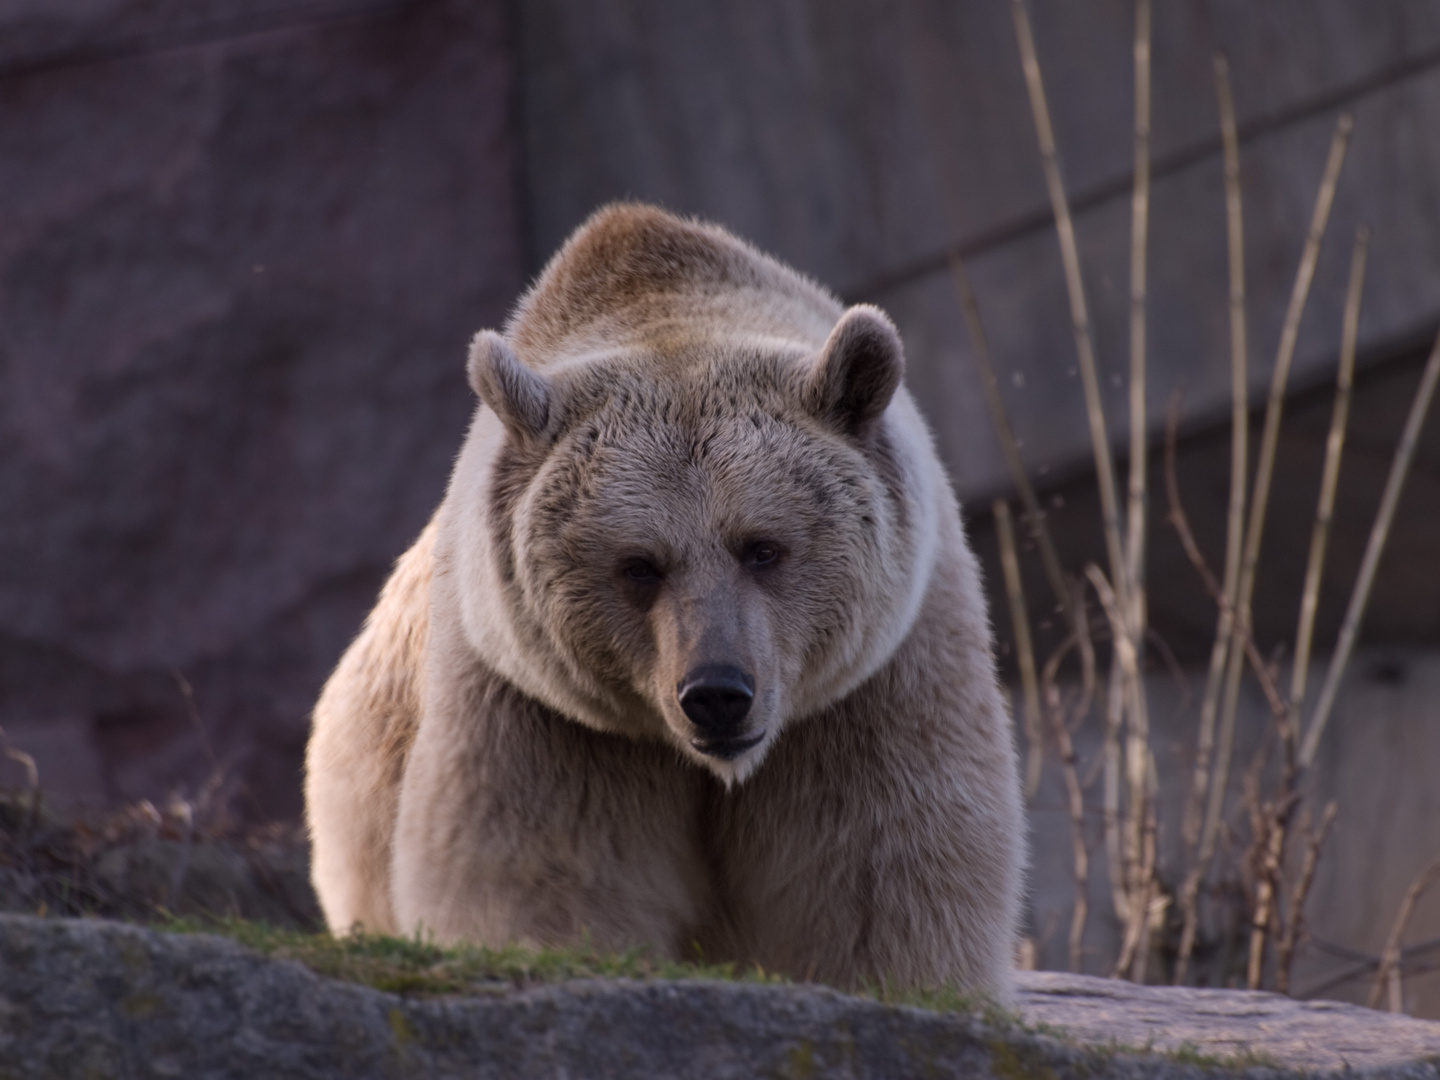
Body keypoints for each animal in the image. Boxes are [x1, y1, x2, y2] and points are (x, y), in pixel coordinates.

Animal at [303, 203, 1025, 996]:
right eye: (640, 564)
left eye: (761, 546)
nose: (717, 694)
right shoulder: (547, 712)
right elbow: (542, 866)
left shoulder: (872, 685)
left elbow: (883, 867)